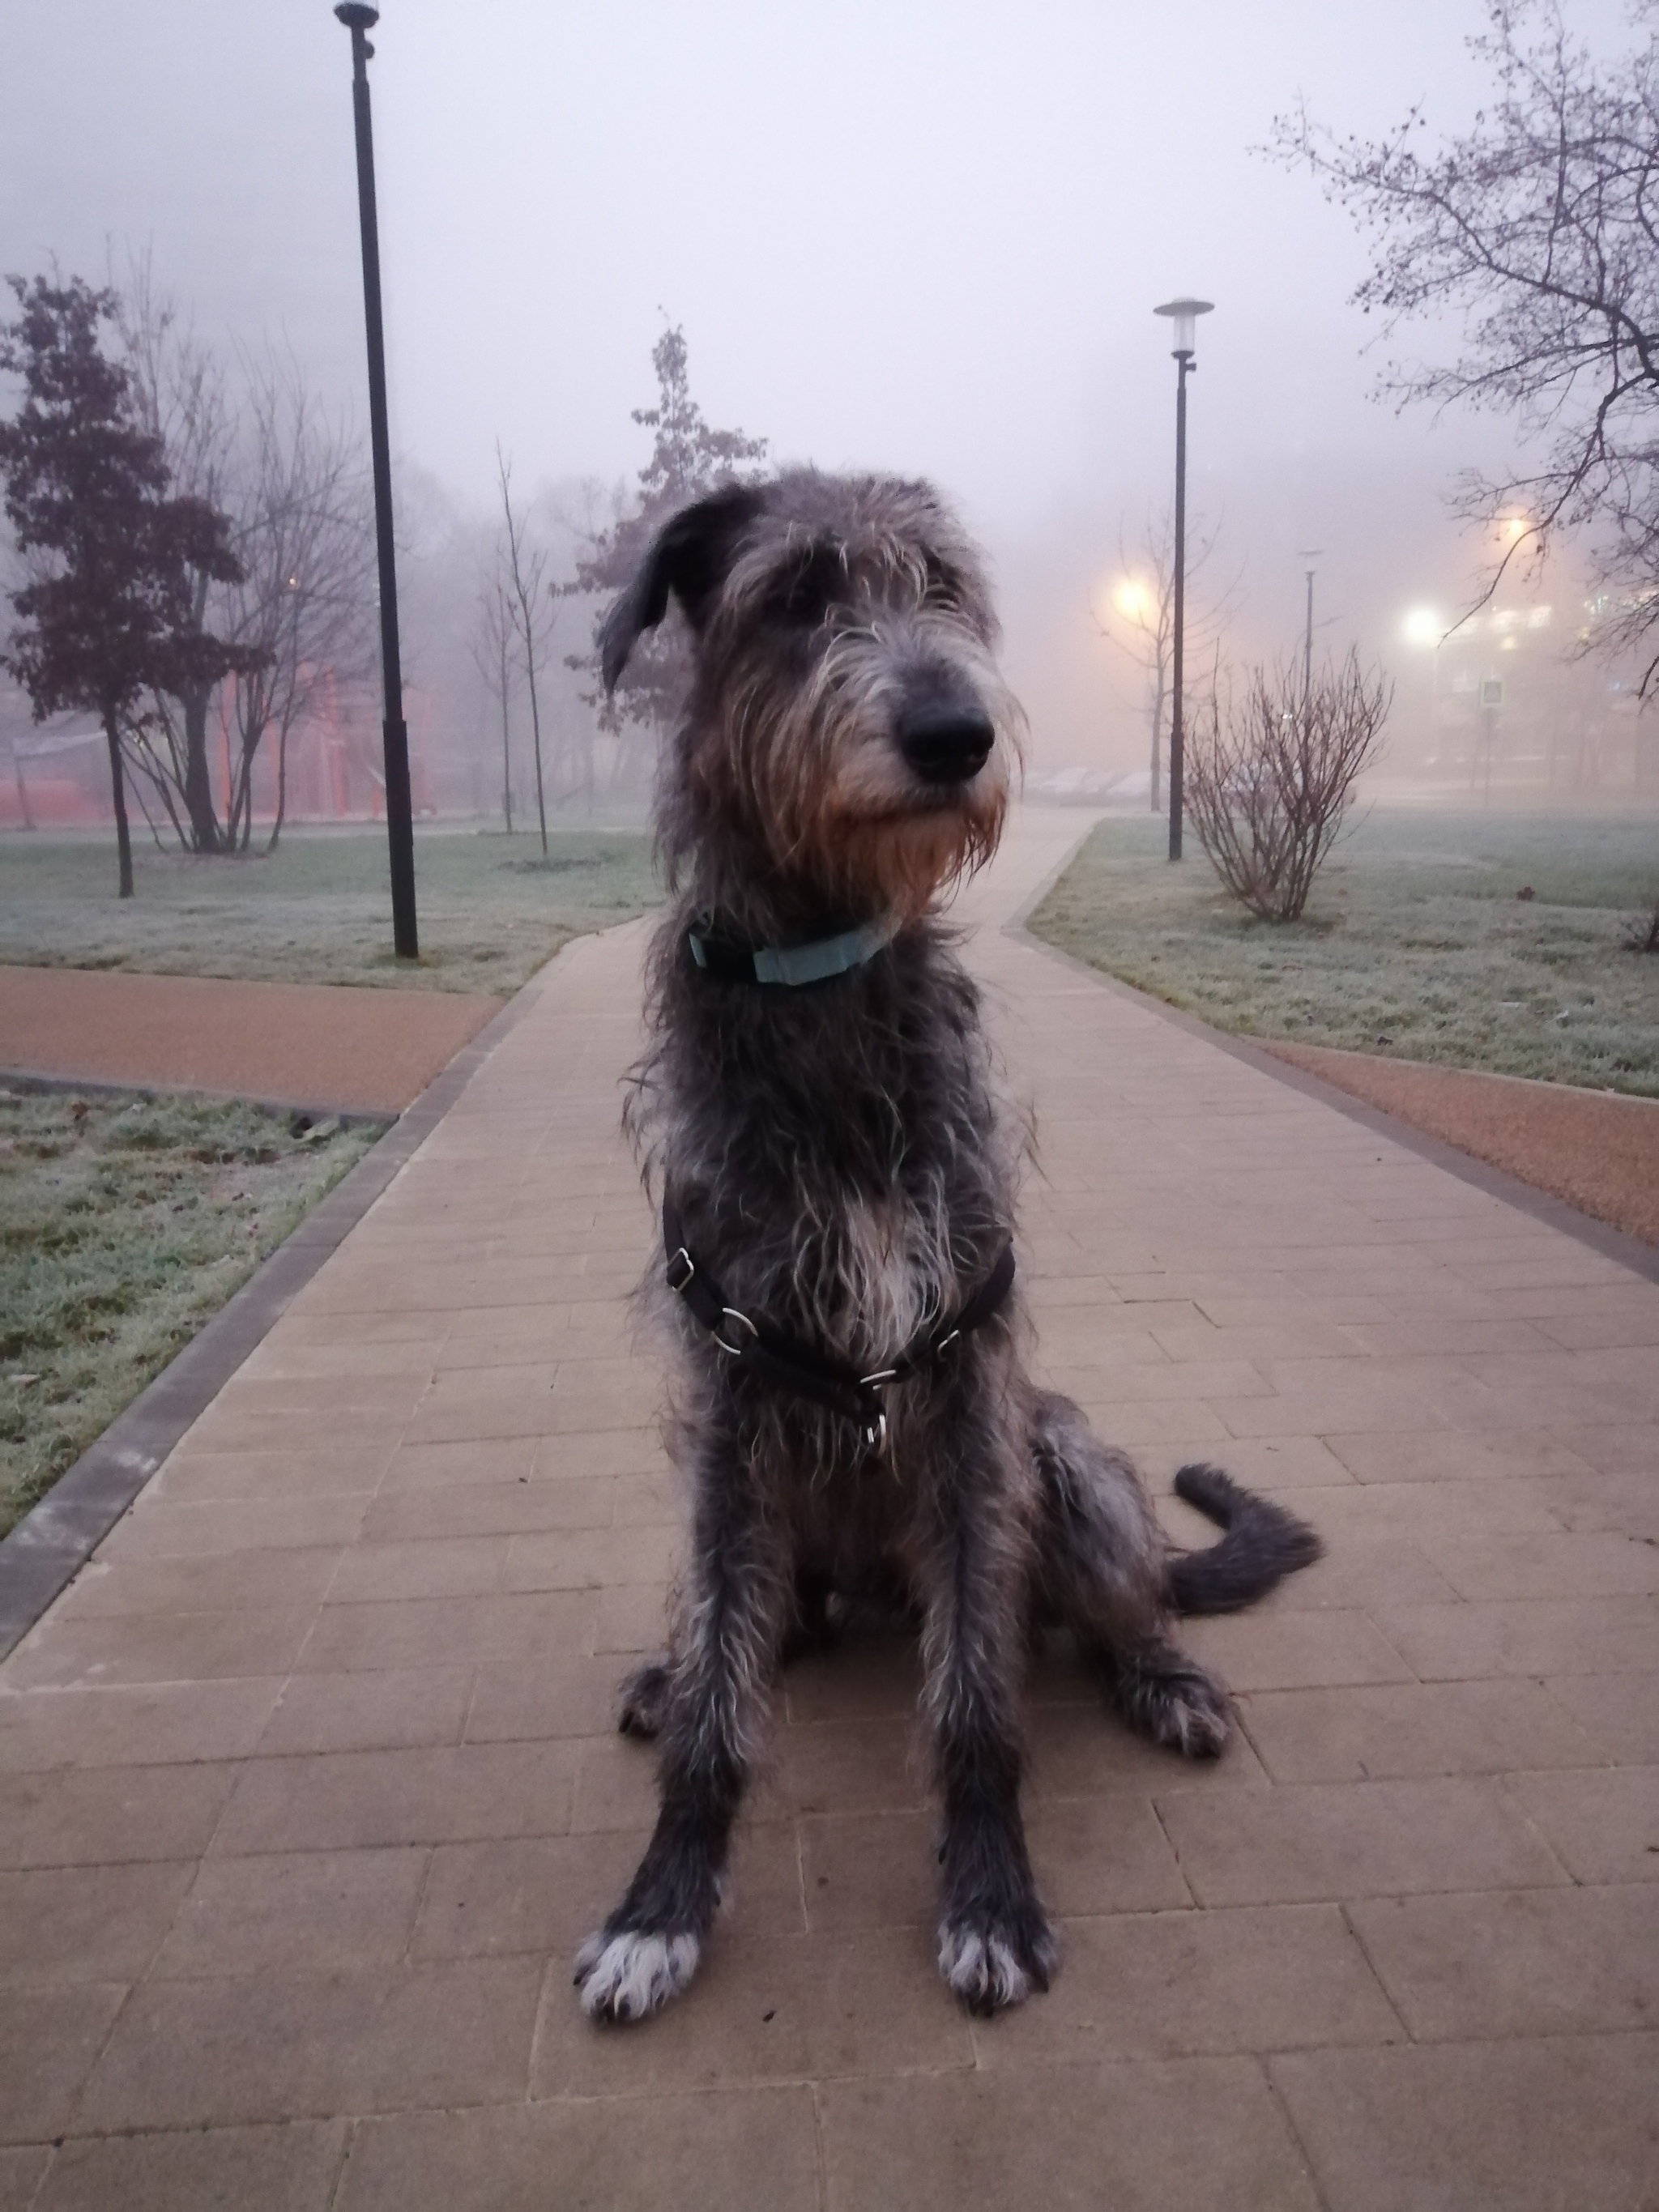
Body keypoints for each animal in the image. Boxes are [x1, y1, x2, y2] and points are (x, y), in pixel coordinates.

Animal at [579, 467, 1318, 2026]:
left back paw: (1163, 1675)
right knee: (761, 1626)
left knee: (1119, 1603)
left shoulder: (973, 1380)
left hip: (1068, 1460)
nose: (953, 732)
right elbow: (725, 1695)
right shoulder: (727, 1394)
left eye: (942, 588)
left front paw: (990, 1896)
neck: (824, 982)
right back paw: (676, 1671)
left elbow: (976, 1697)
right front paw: (660, 1904)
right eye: (797, 595)